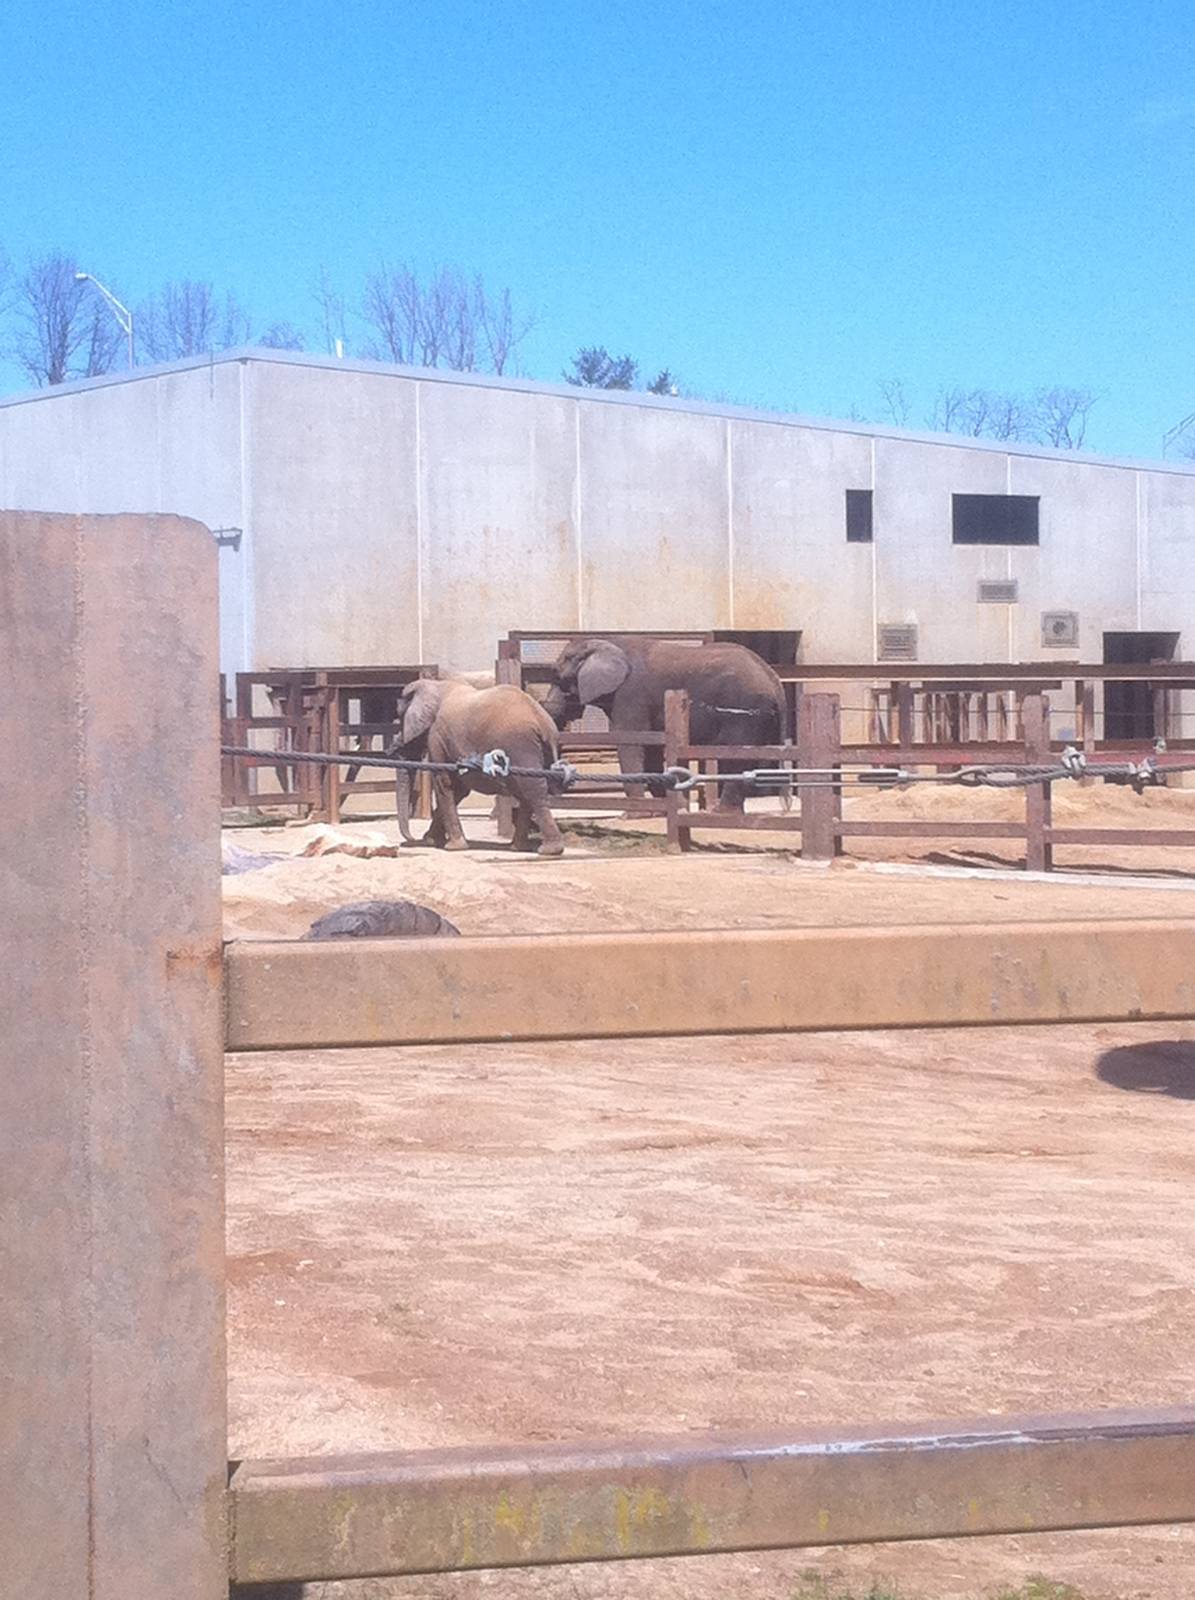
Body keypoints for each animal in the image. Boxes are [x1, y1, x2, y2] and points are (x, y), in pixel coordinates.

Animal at [390, 679, 565, 856]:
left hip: (520, 747)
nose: (411, 838)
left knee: (532, 790)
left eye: (400, 718)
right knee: (526, 792)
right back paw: (519, 847)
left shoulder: (437, 736)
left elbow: (445, 783)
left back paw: (549, 850)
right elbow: (458, 789)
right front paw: (431, 840)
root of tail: (543, 723)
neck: (436, 685)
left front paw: (452, 846)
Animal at [541, 637, 787, 811]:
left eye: (558, 677)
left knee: (737, 756)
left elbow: (631, 742)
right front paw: (667, 806)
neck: (603, 641)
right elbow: (650, 748)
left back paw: (721, 812)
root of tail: (774, 679)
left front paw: (636, 813)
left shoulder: (631, 694)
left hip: (744, 710)